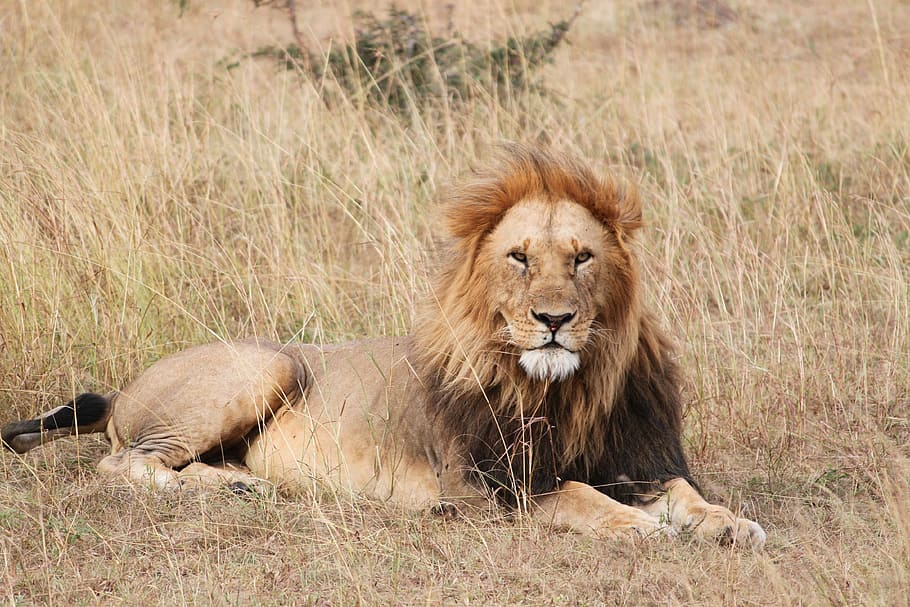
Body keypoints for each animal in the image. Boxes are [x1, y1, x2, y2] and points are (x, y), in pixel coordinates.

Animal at [2, 145, 766, 549]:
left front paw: (731, 524)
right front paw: (646, 530)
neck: (567, 385)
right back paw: (237, 485)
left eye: (582, 258)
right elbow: (583, 498)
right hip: (266, 363)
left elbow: (684, 494)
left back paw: (244, 482)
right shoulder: (491, 486)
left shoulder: (635, 460)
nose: (554, 319)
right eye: (519, 257)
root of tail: (124, 388)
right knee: (121, 463)